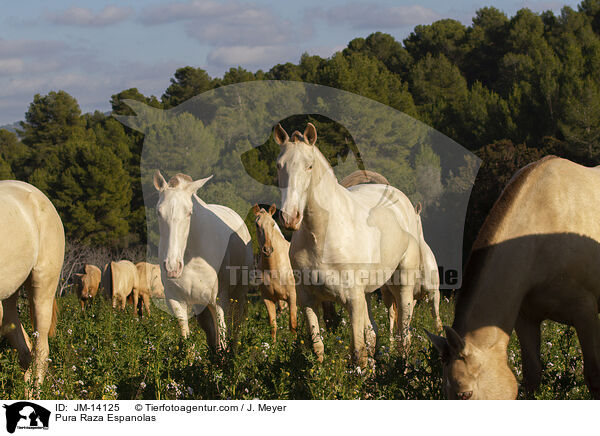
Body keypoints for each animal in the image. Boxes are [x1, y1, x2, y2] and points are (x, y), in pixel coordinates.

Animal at [154, 171, 252, 350]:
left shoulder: (219, 301)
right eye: (159, 212)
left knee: (235, 325)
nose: (172, 267)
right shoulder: (176, 301)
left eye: (189, 212)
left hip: (238, 296)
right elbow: (187, 342)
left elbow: (222, 339)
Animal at [253, 204, 298, 340]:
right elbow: (273, 326)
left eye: (273, 224)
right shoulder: (268, 299)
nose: (267, 249)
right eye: (257, 224)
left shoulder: (292, 297)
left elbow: (292, 325)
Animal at [274, 124, 420, 366]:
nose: (290, 217)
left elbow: (358, 351)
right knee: (372, 334)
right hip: (367, 294)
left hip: (403, 284)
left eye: (309, 166)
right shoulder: (308, 300)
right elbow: (318, 348)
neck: (321, 236)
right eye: (279, 165)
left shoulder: (352, 300)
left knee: (403, 335)